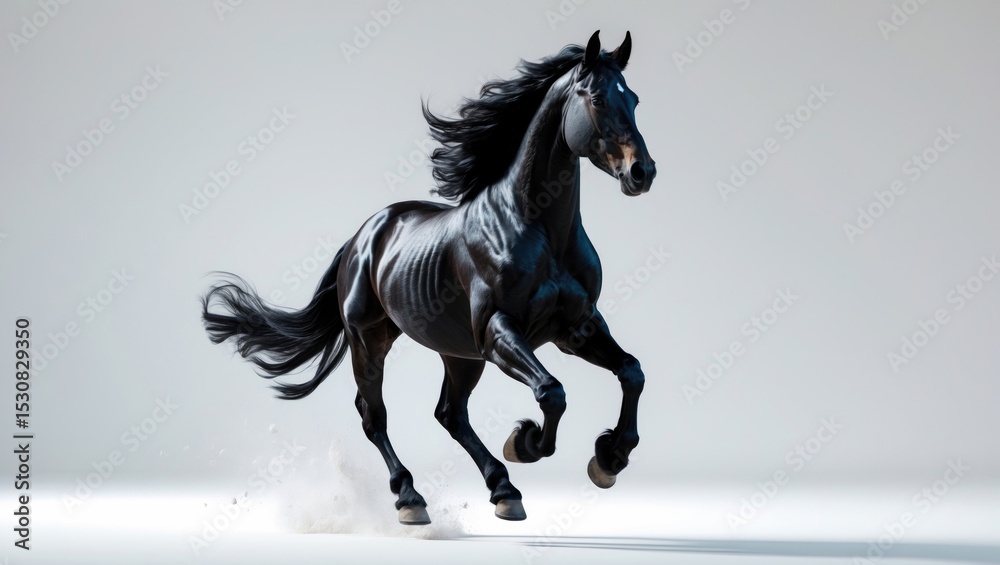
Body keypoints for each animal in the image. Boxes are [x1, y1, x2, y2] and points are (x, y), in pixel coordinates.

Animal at [201, 30, 656, 525]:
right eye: (597, 98)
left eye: (633, 98)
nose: (642, 172)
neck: (539, 230)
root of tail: (361, 238)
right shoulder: (498, 331)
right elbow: (552, 392)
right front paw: (525, 442)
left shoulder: (576, 328)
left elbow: (631, 372)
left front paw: (609, 458)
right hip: (372, 340)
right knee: (374, 415)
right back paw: (411, 500)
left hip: (459, 354)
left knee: (450, 414)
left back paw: (504, 491)